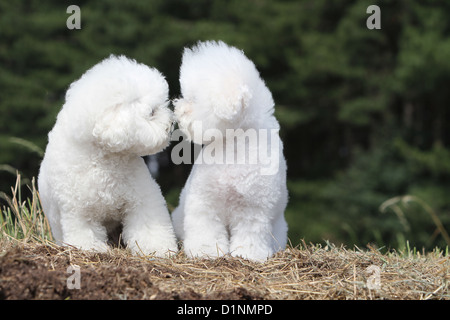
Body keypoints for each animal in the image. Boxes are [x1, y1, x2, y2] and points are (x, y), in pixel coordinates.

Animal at [37, 55, 178, 258]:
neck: (105, 159)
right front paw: (92, 248)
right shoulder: (80, 211)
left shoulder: (142, 199)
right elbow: (86, 233)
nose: (171, 124)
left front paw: (157, 249)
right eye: (152, 112)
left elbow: (148, 227)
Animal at [172, 41, 288, 262]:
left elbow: (250, 235)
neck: (232, 145)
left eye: (194, 99)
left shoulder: (253, 210)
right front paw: (205, 251)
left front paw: (248, 255)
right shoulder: (205, 203)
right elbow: (205, 231)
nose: (177, 111)